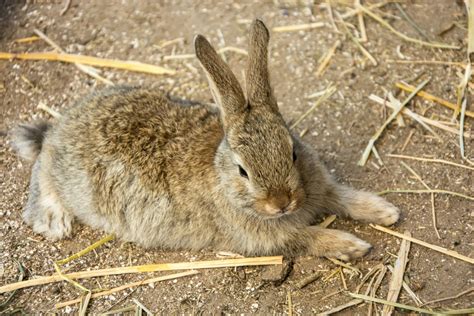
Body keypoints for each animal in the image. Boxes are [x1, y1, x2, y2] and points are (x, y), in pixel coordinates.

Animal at [10, 20, 400, 262]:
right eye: (243, 171)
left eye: (291, 152)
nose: (281, 203)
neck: (220, 172)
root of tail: (59, 129)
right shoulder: (266, 238)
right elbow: (308, 237)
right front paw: (354, 246)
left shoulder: (320, 187)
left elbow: (342, 196)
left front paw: (384, 211)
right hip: (63, 176)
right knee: (41, 172)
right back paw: (54, 220)